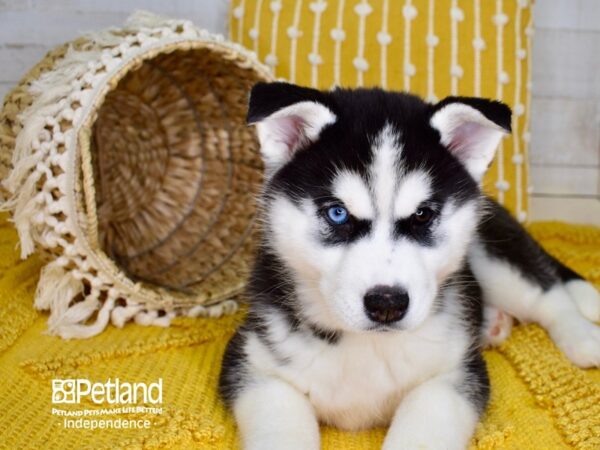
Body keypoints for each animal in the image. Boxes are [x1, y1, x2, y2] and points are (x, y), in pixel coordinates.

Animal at [219, 82, 600, 448]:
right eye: (338, 213)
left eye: (422, 215)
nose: (386, 304)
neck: (367, 345)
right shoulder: (254, 366)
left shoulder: (455, 374)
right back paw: (493, 323)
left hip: (493, 251)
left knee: (547, 295)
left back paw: (582, 338)